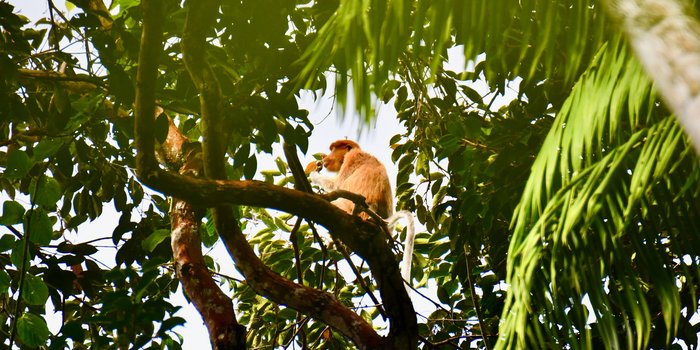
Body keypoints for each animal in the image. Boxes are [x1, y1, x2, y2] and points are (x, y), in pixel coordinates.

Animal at [306, 139, 416, 284]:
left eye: (333, 149)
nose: (325, 158)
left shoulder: (351, 158)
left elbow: (336, 185)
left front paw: (313, 173)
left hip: (346, 208)